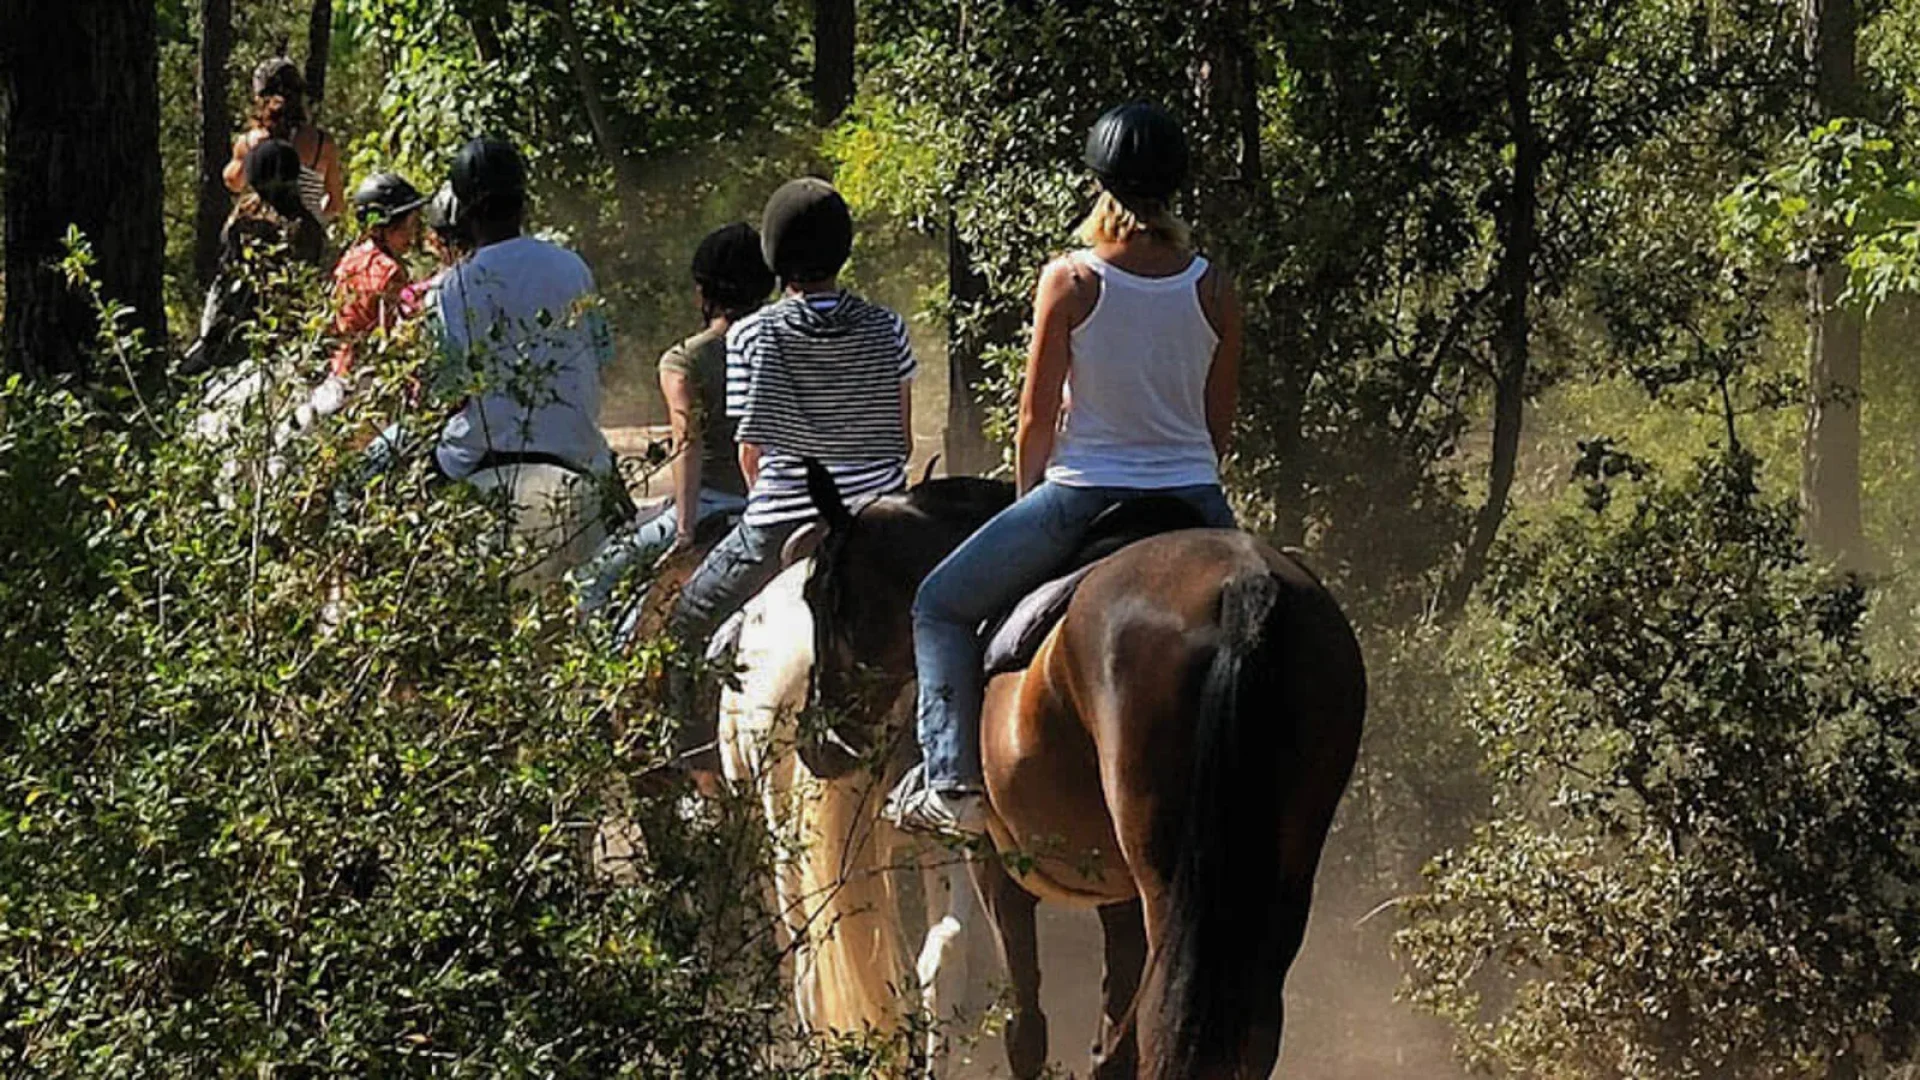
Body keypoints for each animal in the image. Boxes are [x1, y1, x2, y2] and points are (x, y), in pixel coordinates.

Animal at [794, 468, 1367, 1076]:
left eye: (817, 596)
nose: (817, 742)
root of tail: (1242, 589)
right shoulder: (1117, 893)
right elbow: (1110, 1035)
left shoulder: (998, 872)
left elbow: (1027, 1026)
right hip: (1280, 880)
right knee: (1253, 1026)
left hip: (1169, 887)